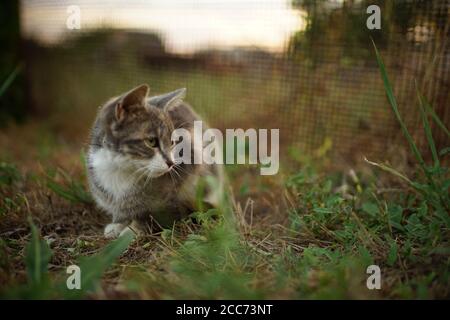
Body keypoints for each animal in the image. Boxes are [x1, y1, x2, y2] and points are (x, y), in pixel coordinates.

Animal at [86, 84, 223, 239]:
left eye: (172, 142)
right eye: (151, 141)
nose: (171, 163)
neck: (120, 169)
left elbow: (156, 213)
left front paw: (134, 229)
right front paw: (119, 223)